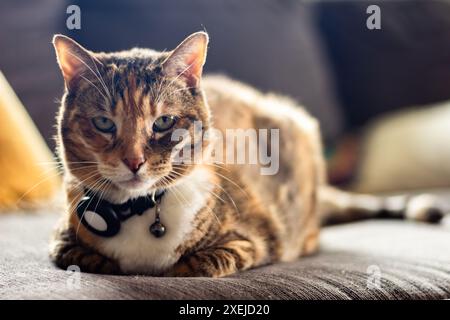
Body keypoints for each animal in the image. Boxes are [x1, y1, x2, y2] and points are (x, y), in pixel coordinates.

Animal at [48, 33, 442, 278]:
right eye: (103, 123)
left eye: (163, 122)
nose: (133, 161)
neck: (140, 211)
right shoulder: (61, 240)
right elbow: (83, 256)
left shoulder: (254, 237)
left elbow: (199, 264)